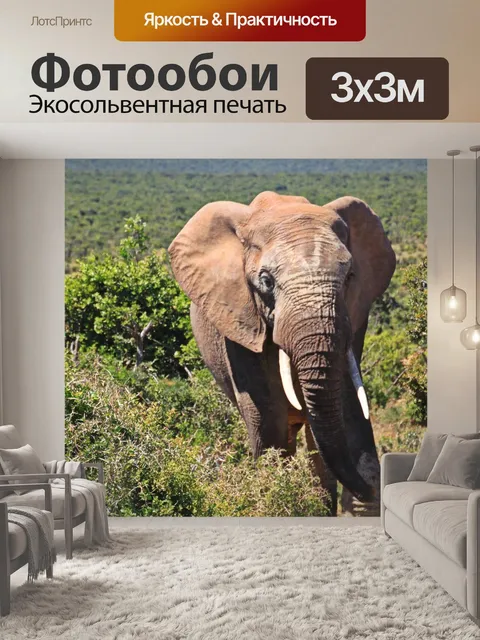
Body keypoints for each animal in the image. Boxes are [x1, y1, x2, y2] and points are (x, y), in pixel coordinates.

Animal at [168, 191, 396, 514]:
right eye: (266, 281)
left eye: (350, 276)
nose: (370, 491)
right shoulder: (239, 321)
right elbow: (268, 420)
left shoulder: (355, 316)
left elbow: (348, 408)